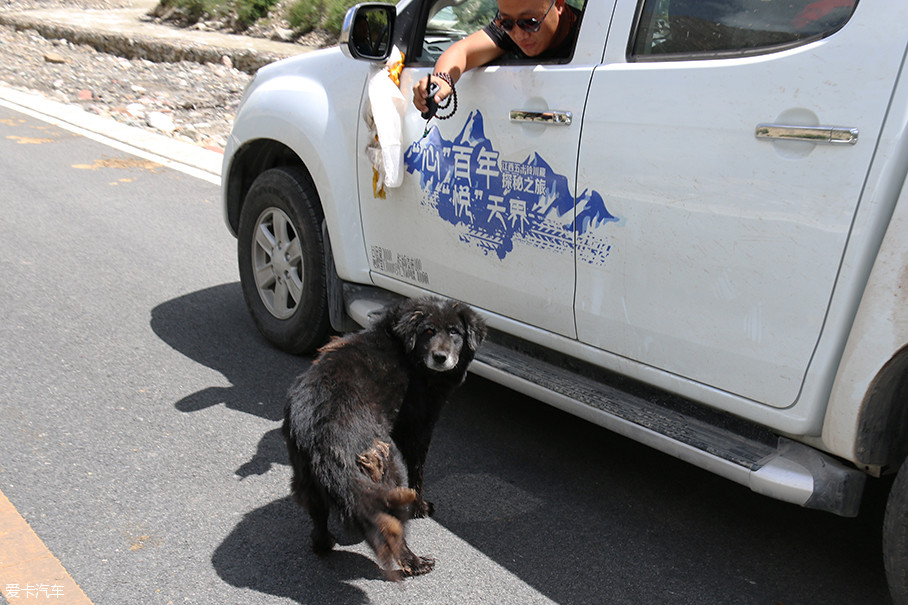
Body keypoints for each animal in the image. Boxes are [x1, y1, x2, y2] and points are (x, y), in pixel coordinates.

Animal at [284, 296, 486, 576]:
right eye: (428, 331)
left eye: (454, 332)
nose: (440, 357)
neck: (407, 350)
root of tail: (319, 434)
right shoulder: (418, 431)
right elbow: (418, 477)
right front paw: (420, 509)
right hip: (387, 469)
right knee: (391, 531)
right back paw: (415, 563)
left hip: (307, 480)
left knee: (318, 520)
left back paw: (324, 544)